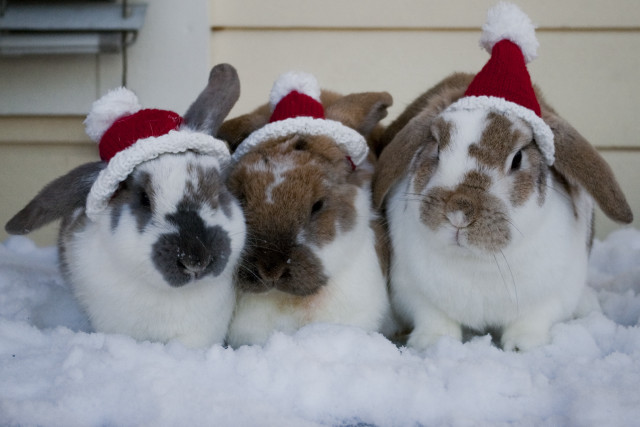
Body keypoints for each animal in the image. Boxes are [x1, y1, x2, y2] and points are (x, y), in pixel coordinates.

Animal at [372, 3, 633, 351]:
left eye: (518, 158)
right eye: (437, 149)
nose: (458, 212)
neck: (481, 262)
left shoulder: (551, 297)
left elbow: (533, 321)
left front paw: (522, 346)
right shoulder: (414, 293)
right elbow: (434, 319)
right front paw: (432, 343)